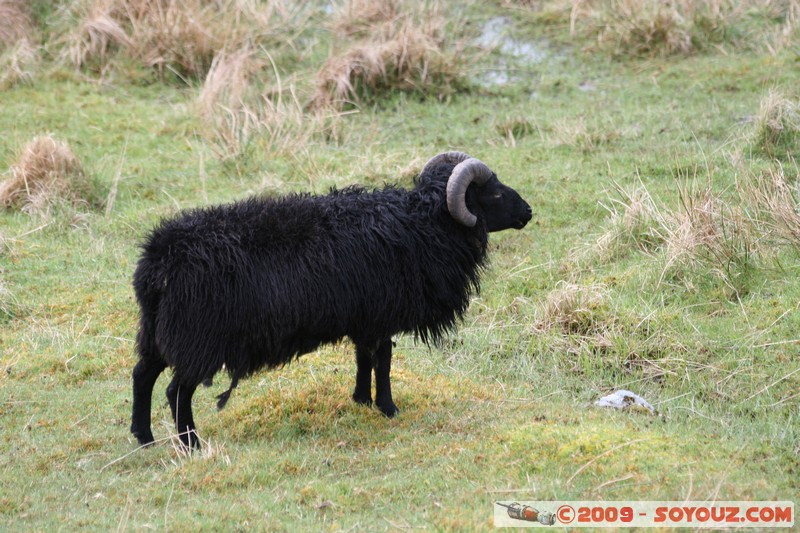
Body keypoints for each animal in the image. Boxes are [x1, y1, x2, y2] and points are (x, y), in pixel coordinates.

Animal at [131, 152, 532, 446]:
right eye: (495, 193)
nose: (528, 211)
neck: (424, 223)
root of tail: (159, 259)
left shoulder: (364, 316)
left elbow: (363, 358)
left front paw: (361, 400)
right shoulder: (380, 314)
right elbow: (383, 360)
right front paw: (388, 408)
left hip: (157, 332)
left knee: (142, 374)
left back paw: (144, 437)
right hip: (197, 337)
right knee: (176, 391)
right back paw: (191, 444)